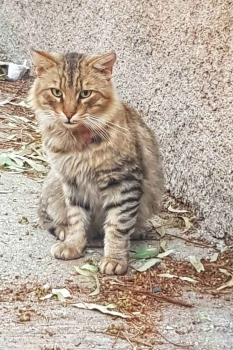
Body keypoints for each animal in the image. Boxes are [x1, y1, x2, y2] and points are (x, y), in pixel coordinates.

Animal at [29, 49, 164, 274]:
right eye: (56, 92)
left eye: (85, 94)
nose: (68, 114)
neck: (76, 143)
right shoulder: (72, 182)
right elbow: (77, 219)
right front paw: (73, 245)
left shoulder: (123, 181)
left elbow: (118, 225)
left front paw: (115, 259)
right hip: (53, 186)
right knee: (46, 218)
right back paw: (64, 231)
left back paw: (137, 231)